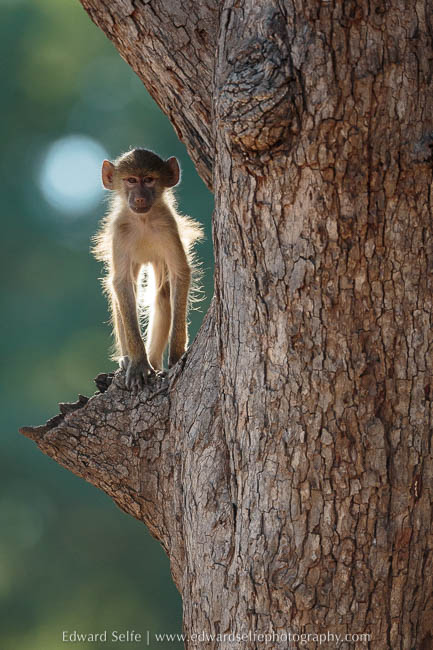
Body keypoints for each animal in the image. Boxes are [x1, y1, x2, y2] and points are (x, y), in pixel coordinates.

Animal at [93, 148, 203, 390]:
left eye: (149, 179)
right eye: (131, 180)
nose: (140, 198)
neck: (143, 220)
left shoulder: (168, 226)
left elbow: (180, 274)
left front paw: (176, 354)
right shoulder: (120, 231)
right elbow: (122, 284)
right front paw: (138, 364)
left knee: (162, 293)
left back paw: (154, 361)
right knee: (123, 296)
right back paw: (129, 359)